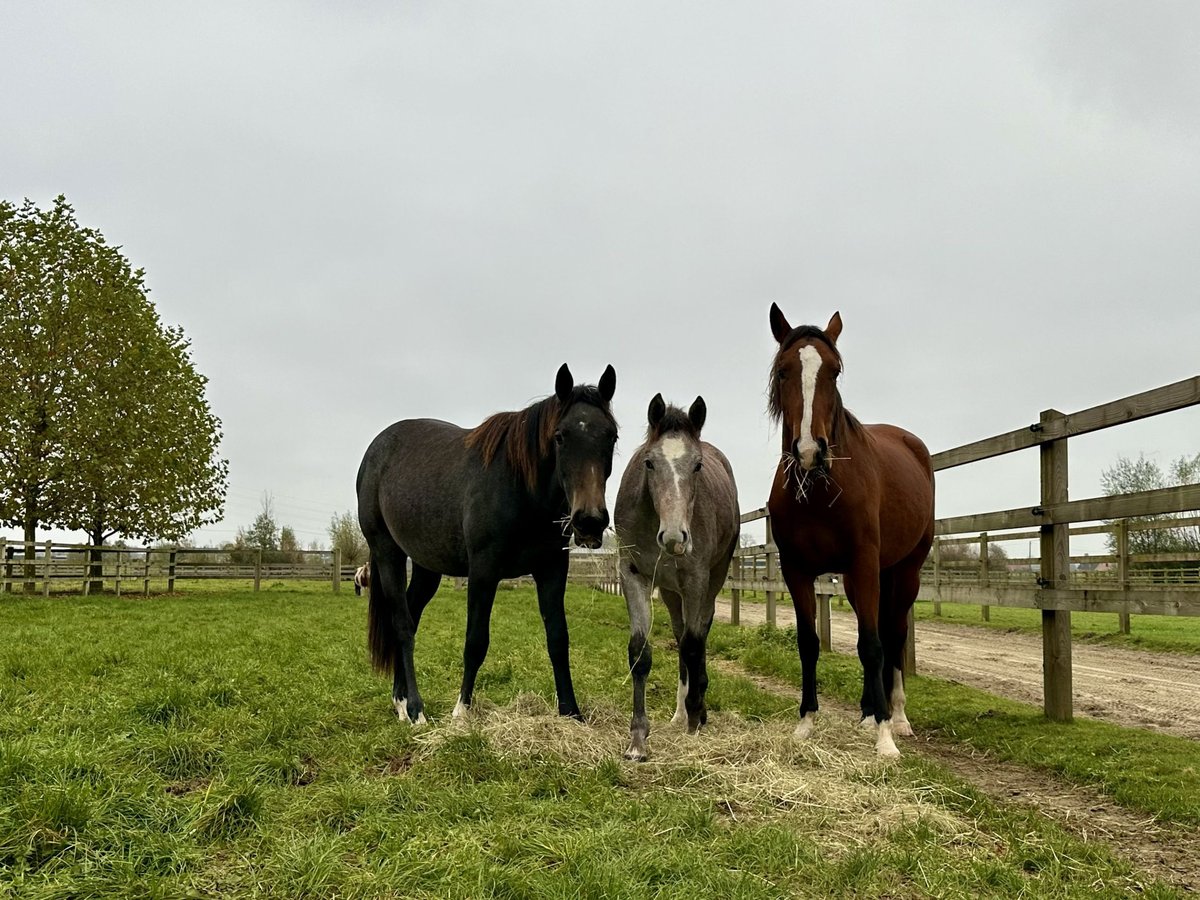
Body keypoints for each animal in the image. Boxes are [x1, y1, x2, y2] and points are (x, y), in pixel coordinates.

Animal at [356, 363, 617, 724]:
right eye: (560, 436)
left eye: (611, 435)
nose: (590, 520)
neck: (520, 487)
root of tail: (375, 451)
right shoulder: (483, 571)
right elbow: (476, 641)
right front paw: (462, 711)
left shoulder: (552, 569)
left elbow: (558, 638)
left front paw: (571, 712)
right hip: (387, 553)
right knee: (403, 624)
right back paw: (415, 709)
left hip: (425, 566)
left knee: (411, 613)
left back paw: (400, 700)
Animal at [615, 394, 739, 761]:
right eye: (649, 463)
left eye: (697, 466)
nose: (675, 537)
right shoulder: (633, 575)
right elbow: (641, 652)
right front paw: (637, 739)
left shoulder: (697, 579)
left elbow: (694, 646)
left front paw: (697, 717)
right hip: (671, 593)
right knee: (681, 633)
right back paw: (680, 712)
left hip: (711, 580)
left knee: (696, 636)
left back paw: (695, 709)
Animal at [766, 306, 934, 757]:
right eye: (784, 371)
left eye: (835, 371)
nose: (810, 450)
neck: (819, 493)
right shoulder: (797, 570)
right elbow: (809, 644)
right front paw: (805, 723)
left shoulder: (863, 563)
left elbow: (873, 646)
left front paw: (885, 740)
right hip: (863, 581)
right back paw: (867, 712)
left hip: (903, 572)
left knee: (892, 636)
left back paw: (897, 716)